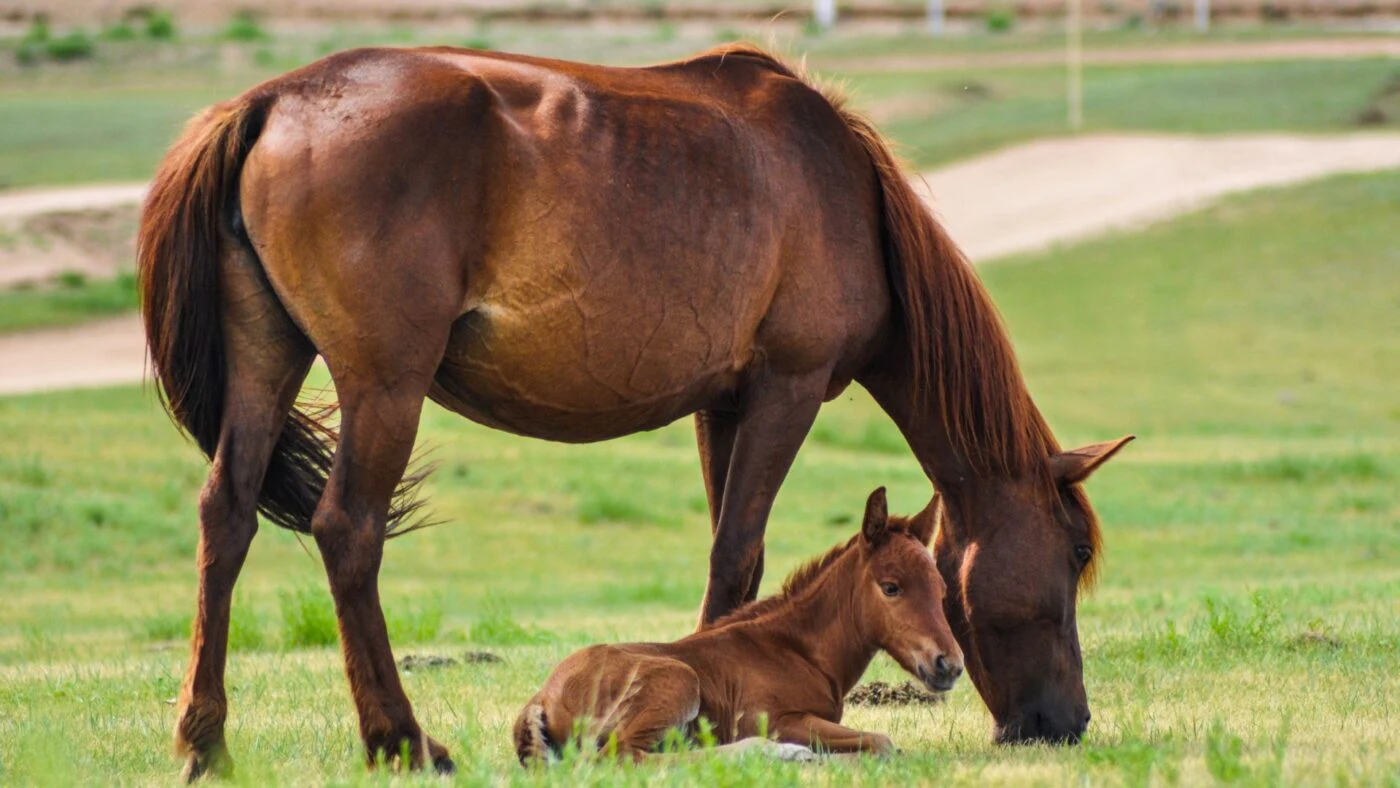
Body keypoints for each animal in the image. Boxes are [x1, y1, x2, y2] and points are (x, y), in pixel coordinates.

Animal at [513, 488, 963, 764]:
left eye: (942, 588)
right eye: (891, 587)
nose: (950, 665)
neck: (798, 651)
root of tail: (541, 697)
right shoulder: (778, 719)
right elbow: (882, 742)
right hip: (677, 681)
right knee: (627, 757)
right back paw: (775, 753)